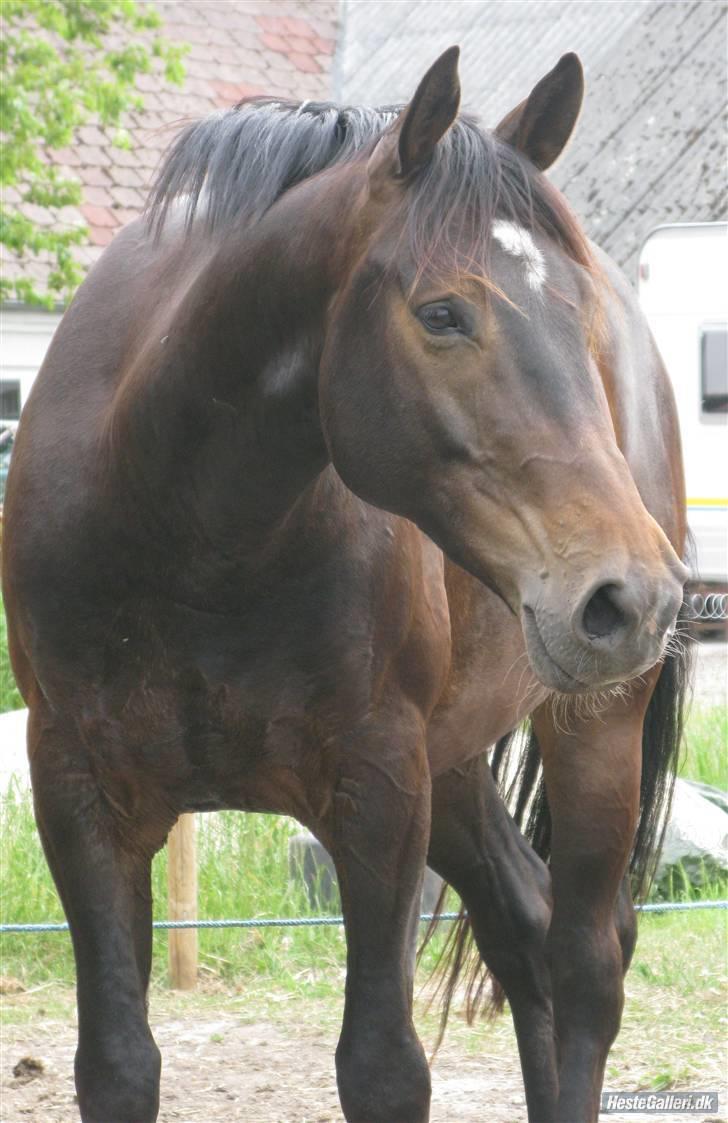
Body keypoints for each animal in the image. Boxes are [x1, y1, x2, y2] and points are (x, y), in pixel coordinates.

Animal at [2, 48, 692, 1123]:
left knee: (585, 963)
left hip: (592, 726)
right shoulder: (79, 793)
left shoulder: (379, 792)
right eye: (442, 313)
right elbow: (117, 1063)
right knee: (525, 930)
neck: (188, 528)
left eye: (581, 320)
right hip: (457, 760)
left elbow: (382, 1065)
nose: (632, 596)